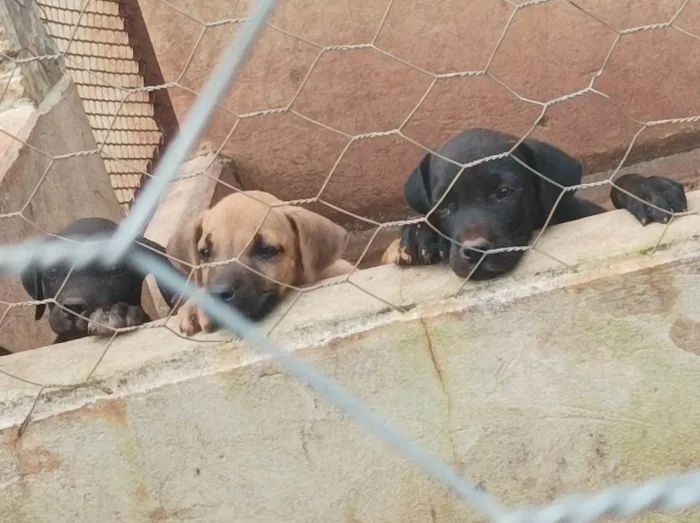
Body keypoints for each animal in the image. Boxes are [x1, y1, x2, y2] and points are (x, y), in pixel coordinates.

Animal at [380, 129, 688, 280]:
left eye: (505, 192)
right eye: (444, 206)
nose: (474, 252)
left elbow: (622, 181)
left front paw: (649, 189)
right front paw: (420, 233)